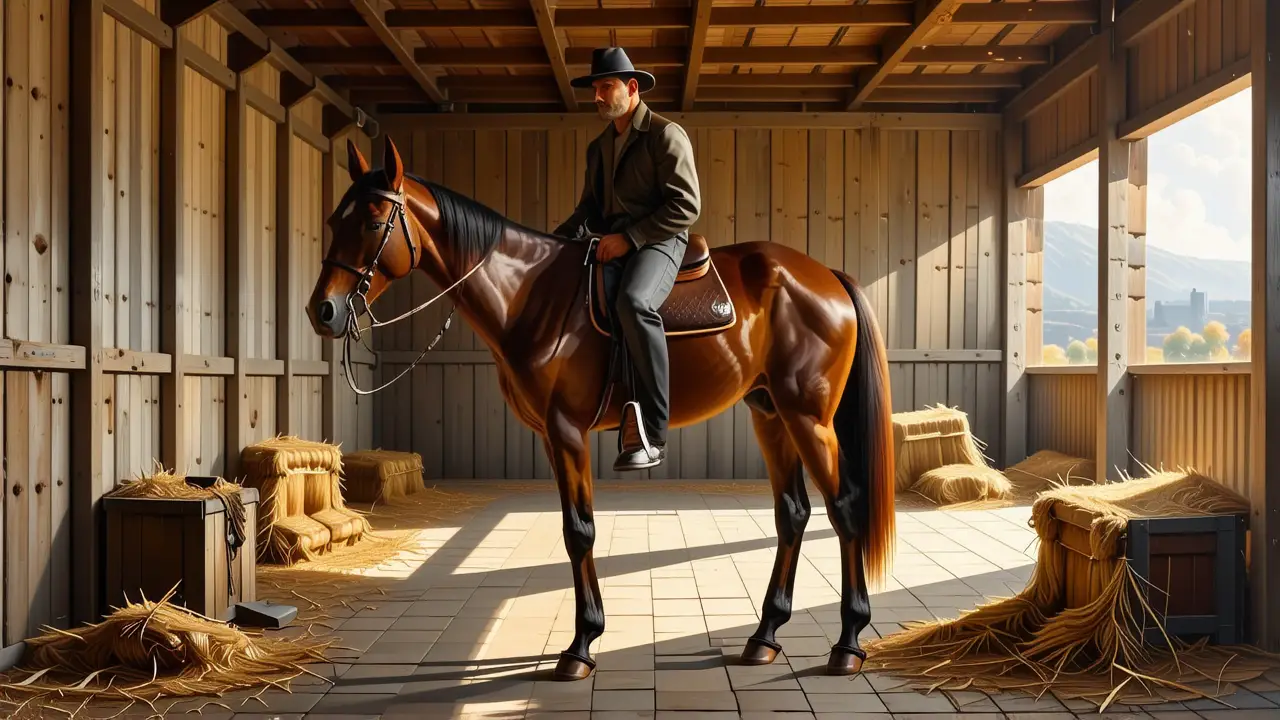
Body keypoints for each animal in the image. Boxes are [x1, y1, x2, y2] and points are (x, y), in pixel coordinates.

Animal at [307, 136, 896, 681]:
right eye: (335, 218)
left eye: (374, 220)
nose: (323, 311)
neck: (531, 293)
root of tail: (824, 274)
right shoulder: (550, 435)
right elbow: (575, 528)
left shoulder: (567, 429)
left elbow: (580, 531)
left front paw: (581, 645)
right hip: (770, 413)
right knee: (792, 513)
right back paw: (764, 636)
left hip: (808, 418)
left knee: (844, 508)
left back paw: (848, 643)